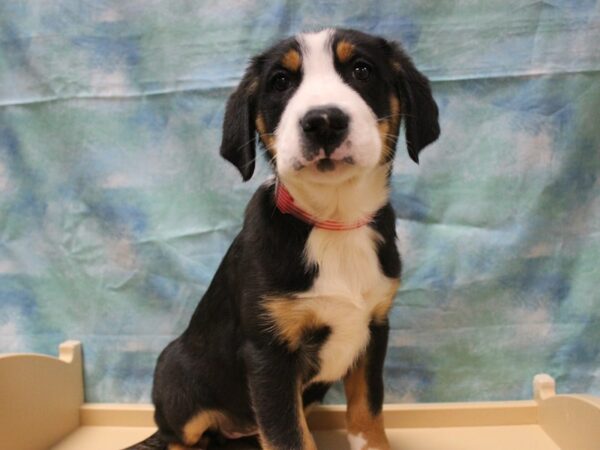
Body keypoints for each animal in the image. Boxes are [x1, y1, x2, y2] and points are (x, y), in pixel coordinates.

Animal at [132, 27, 440, 450]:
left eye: (362, 70)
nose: (323, 121)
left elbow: (367, 413)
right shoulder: (270, 352)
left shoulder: (375, 328)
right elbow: (287, 434)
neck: (334, 221)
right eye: (280, 81)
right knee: (177, 436)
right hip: (177, 376)